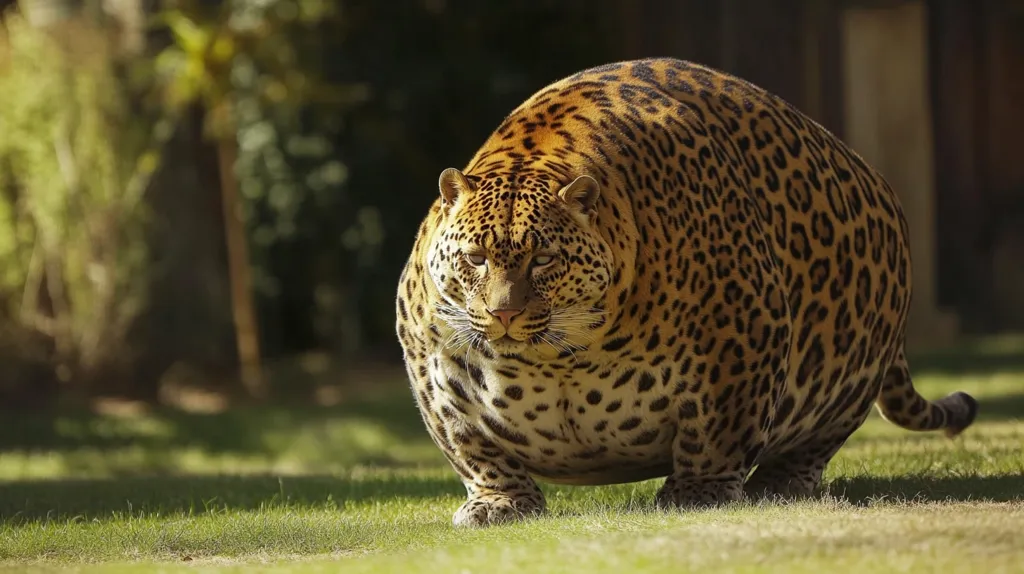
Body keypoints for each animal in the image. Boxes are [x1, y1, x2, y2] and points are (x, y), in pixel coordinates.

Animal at [394, 57, 978, 528]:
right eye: (475, 259)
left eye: (543, 260)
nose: (504, 314)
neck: (561, 358)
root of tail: (875, 177)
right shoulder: (431, 359)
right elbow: (471, 445)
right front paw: (499, 502)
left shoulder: (743, 334)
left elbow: (719, 430)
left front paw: (700, 492)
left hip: (851, 376)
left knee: (815, 440)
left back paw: (781, 484)